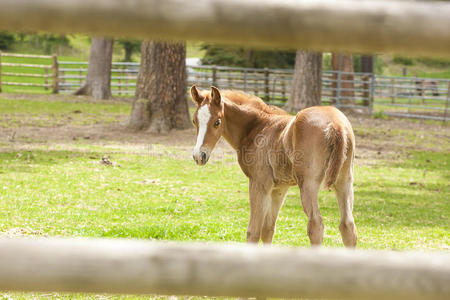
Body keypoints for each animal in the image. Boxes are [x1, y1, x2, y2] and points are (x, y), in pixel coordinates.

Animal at [191, 85, 358, 247]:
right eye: (194, 121)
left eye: (217, 122)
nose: (199, 156)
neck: (257, 127)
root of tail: (336, 125)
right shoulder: (279, 188)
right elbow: (268, 229)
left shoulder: (259, 183)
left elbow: (253, 231)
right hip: (344, 182)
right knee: (347, 226)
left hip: (308, 184)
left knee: (316, 225)